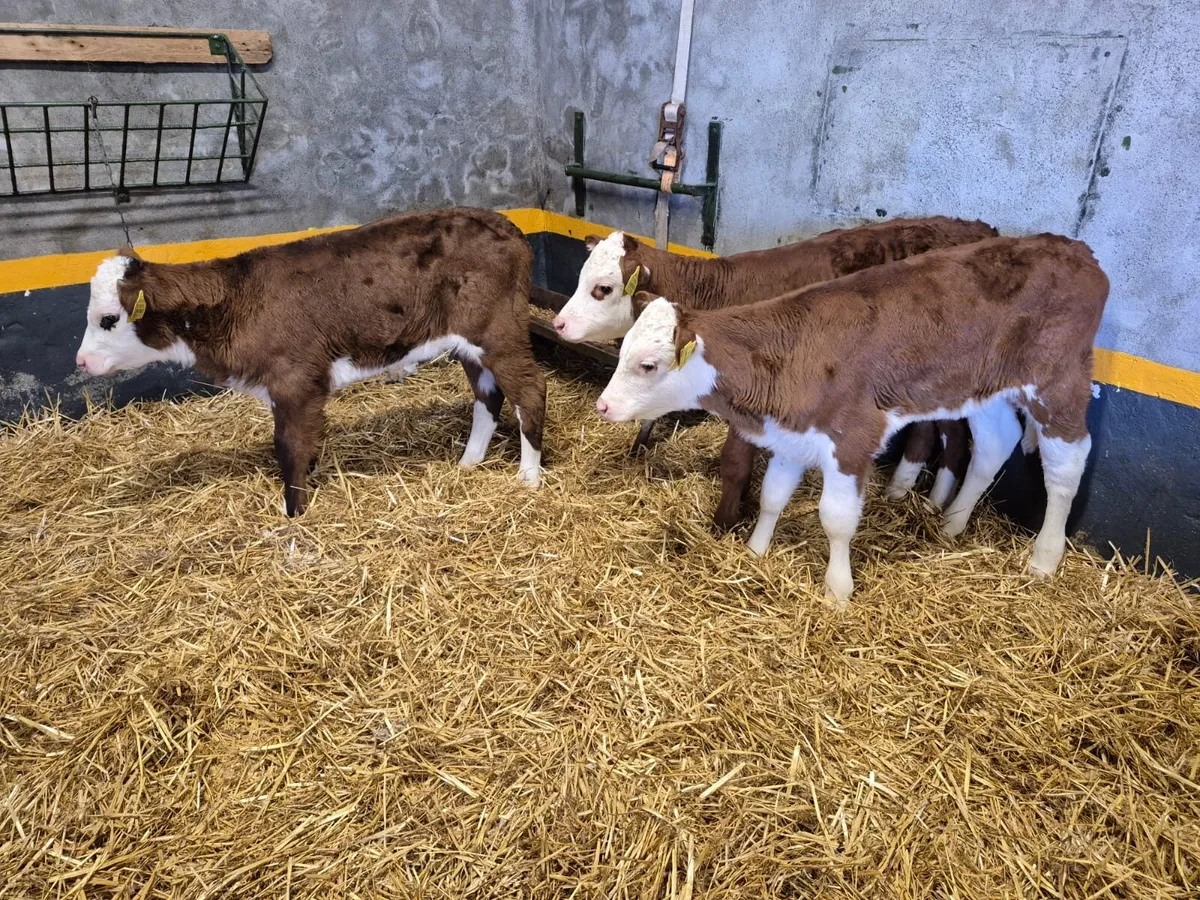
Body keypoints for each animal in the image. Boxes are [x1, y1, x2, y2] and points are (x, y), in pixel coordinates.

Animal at [75, 207, 546, 516]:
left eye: (108, 318)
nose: (81, 361)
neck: (236, 301)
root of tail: (507, 225)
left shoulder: (295, 380)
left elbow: (289, 445)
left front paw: (294, 512)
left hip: (499, 331)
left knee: (530, 392)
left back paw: (529, 477)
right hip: (471, 344)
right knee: (488, 397)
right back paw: (469, 462)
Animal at [552, 217, 999, 530]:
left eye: (603, 288)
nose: (559, 324)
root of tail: (979, 228)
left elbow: (734, 460)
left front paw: (724, 522)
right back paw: (909, 494)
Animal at [593, 234, 1108, 606]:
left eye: (648, 365)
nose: (603, 406)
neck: (789, 352)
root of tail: (1075, 248)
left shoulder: (852, 438)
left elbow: (836, 519)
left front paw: (837, 591)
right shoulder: (792, 432)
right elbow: (772, 496)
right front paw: (756, 551)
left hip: (1058, 379)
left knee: (1067, 464)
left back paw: (1044, 558)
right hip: (982, 387)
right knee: (995, 442)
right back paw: (952, 525)